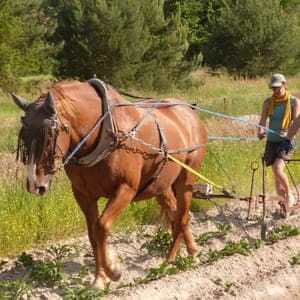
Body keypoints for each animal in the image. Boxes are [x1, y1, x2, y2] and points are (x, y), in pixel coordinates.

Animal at [12, 78, 209, 290]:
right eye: (23, 136)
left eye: (50, 134)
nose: (35, 186)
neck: (104, 133)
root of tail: (188, 110)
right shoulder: (83, 195)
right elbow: (92, 235)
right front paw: (99, 279)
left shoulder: (125, 189)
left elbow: (101, 227)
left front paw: (113, 270)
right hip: (161, 185)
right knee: (176, 215)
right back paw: (193, 252)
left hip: (186, 178)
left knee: (181, 218)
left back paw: (168, 264)